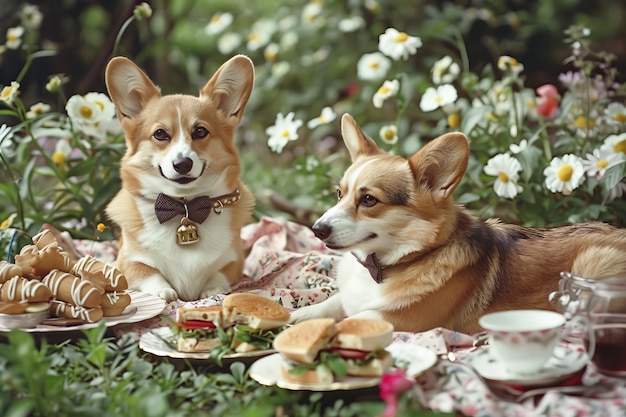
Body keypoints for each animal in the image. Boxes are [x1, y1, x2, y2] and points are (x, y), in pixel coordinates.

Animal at [105, 56, 254, 302]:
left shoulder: (235, 260)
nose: (183, 164)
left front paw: (212, 289)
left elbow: (220, 273)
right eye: (160, 134)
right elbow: (146, 271)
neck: (184, 206)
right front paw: (163, 290)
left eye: (200, 131)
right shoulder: (126, 263)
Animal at [290, 113, 624, 332]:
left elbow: (353, 320)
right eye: (339, 193)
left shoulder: (401, 320)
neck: (387, 265)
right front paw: (295, 316)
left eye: (369, 200)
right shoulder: (348, 297)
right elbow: (332, 305)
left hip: (590, 265)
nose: (317, 230)